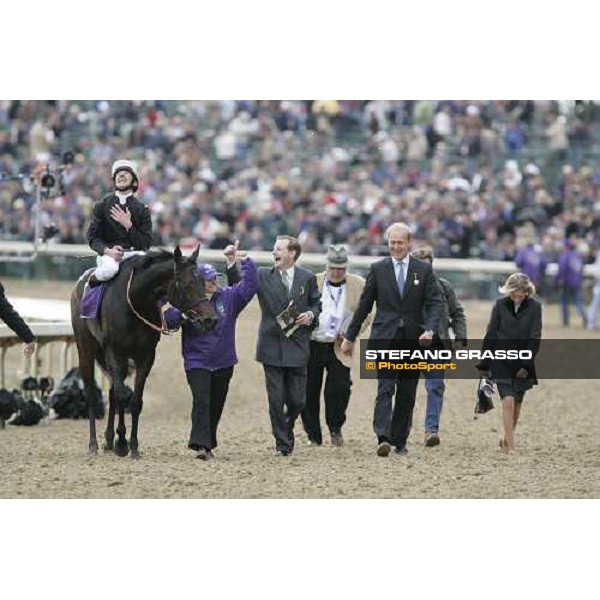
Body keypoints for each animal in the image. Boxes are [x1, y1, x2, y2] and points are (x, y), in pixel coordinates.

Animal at [71, 246, 216, 458]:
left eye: (203, 282)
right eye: (187, 285)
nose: (210, 319)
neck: (135, 301)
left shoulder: (146, 356)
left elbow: (135, 401)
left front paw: (132, 446)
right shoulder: (115, 351)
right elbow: (123, 397)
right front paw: (122, 443)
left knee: (113, 392)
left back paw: (109, 440)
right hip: (86, 348)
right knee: (91, 393)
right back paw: (94, 444)